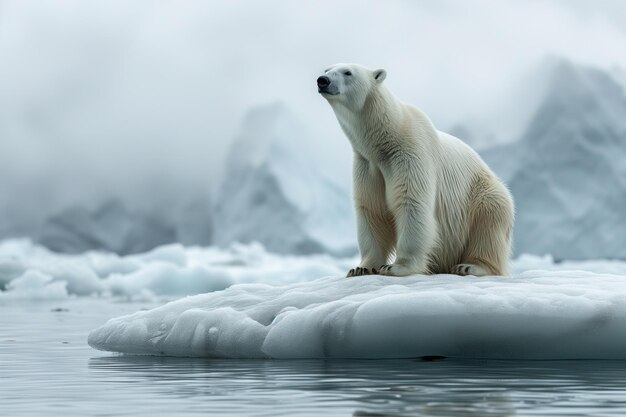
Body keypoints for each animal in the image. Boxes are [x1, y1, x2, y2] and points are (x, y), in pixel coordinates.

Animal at [316, 62, 512, 276]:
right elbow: (371, 208)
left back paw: (470, 266)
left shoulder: (410, 154)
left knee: (489, 224)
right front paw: (361, 268)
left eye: (347, 72)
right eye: (327, 69)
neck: (384, 141)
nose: (322, 80)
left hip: (482, 194)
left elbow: (411, 202)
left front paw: (396, 267)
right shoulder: (367, 165)